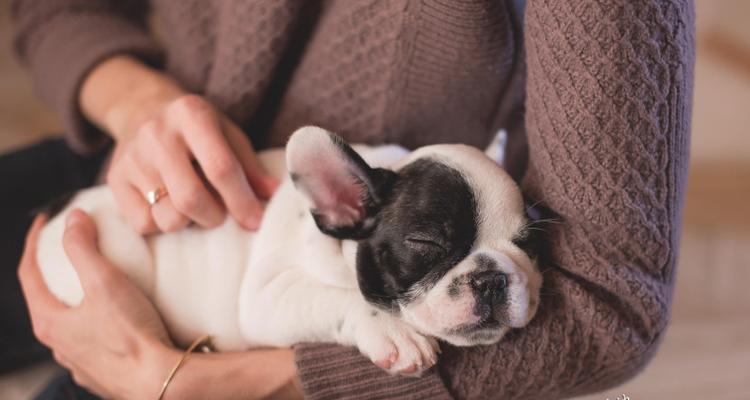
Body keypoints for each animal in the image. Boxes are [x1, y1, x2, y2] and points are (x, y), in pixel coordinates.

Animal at [36, 126, 540, 376]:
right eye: (426, 243)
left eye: (527, 244)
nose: (492, 278)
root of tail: (58, 209)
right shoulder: (267, 296)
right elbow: (340, 298)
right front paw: (394, 332)